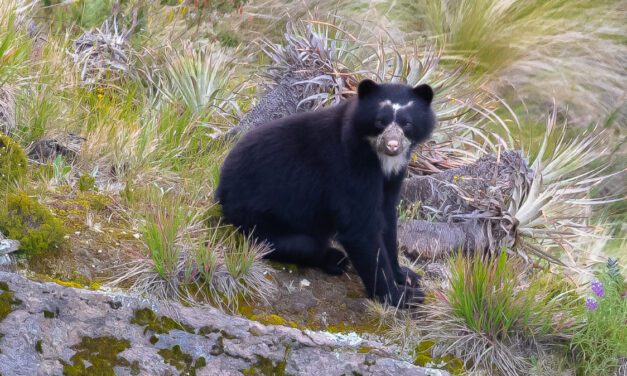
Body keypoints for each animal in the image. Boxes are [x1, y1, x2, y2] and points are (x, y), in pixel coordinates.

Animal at [216, 79, 436, 306]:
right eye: (380, 122)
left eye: (407, 124)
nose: (392, 146)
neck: (379, 157)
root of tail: (221, 189)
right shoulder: (350, 166)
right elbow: (360, 227)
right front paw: (401, 296)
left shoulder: (393, 176)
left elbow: (387, 219)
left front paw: (406, 276)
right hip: (258, 220)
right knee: (301, 244)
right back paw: (335, 259)